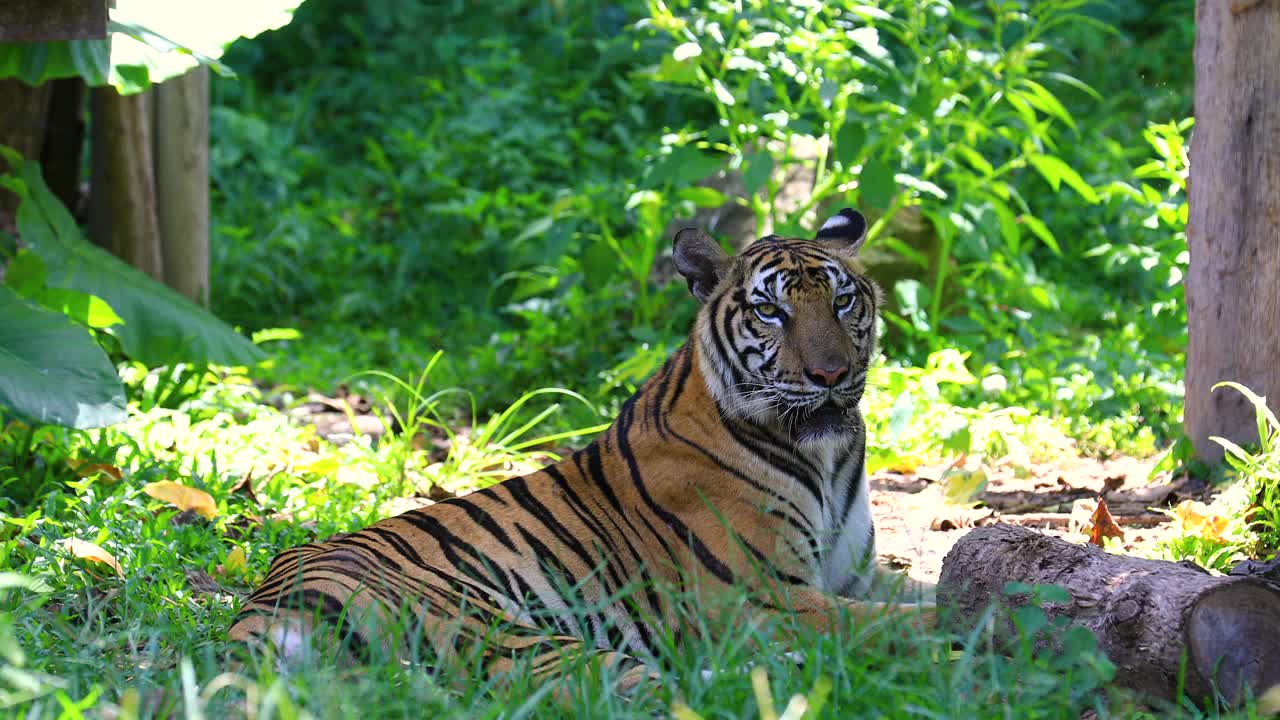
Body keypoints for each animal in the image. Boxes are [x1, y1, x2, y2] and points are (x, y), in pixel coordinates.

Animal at [227, 206, 931, 681]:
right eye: (770, 312)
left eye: (843, 302)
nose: (831, 375)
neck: (828, 458)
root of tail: (267, 605)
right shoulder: (760, 596)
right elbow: (904, 621)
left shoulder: (857, 577)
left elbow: (930, 593)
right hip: (509, 633)